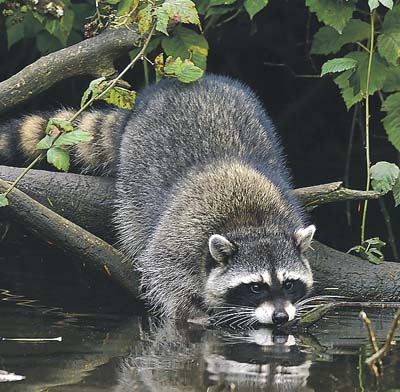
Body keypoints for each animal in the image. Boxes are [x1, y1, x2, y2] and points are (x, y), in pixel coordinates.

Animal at [1, 75, 318, 326]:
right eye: (255, 287)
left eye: (289, 284)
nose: (281, 317)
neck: (252, 223)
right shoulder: (184, 228)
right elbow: (162, 267)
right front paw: (187, 309)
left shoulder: (286, 209)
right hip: (135, 172)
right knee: (134, 224)